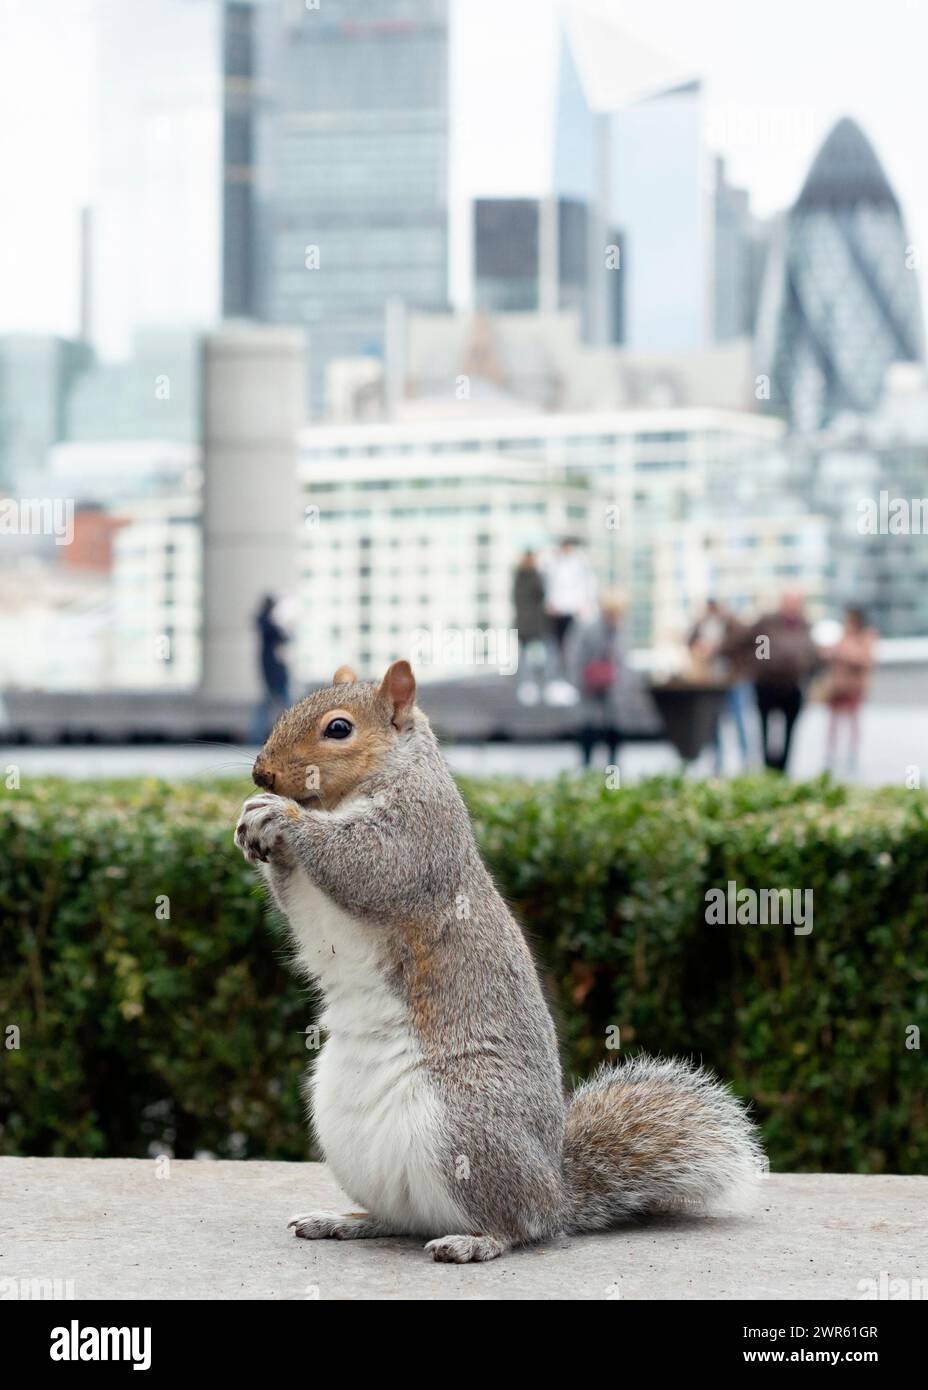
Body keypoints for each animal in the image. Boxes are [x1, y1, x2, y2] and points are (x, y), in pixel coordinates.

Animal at [234, 660, 763, 1263]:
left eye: (339, 729)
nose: (261, 774)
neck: (353, 795)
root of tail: (556, 1192)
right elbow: (301, 903)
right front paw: (254, 824)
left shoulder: (420, 836)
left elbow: (368, 864)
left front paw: (282, 816)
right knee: (398, 1218)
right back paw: (343, 1220)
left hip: (467, 1122)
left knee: (517, 1225)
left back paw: (475, 1241)